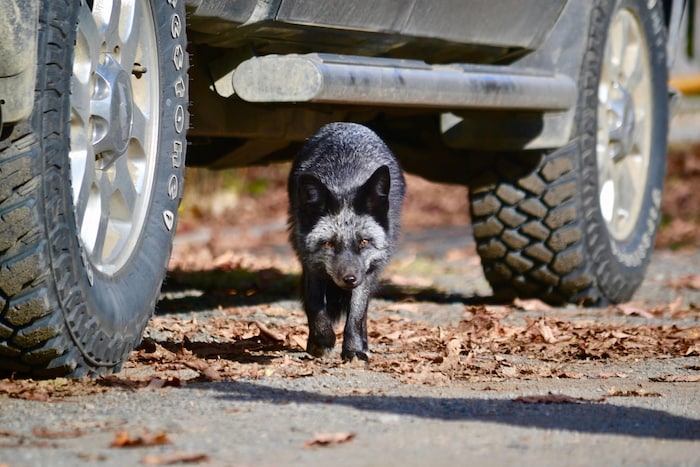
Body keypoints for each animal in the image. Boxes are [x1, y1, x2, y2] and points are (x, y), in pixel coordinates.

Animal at [288, 122, 404, 360]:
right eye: (329, 244)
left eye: (364, 242)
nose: (349, 279)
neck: (344, 182)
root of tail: (349, 124)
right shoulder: (311, 263)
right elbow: (314, 305)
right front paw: (322, 341)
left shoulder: (367, 271)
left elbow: (357, 313)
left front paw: (354, 349)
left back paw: (364, 344)